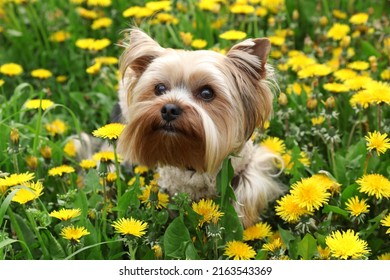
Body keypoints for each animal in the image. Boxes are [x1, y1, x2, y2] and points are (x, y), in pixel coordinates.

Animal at [116, 29, 284, 228]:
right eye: (160, 88)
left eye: (206, 93)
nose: (169, 109)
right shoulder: (173, 185)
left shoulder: (248, 166)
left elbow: (245, 192)